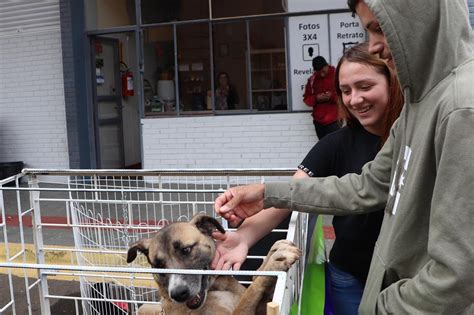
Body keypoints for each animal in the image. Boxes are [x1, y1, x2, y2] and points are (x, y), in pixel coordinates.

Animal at [127, 214, 300, 314]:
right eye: (159, 265)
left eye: (186, 250)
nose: (178, 294)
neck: (216, 288)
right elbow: (251, 292)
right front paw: (274, 263)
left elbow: (256, 278)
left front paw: (274, 252)